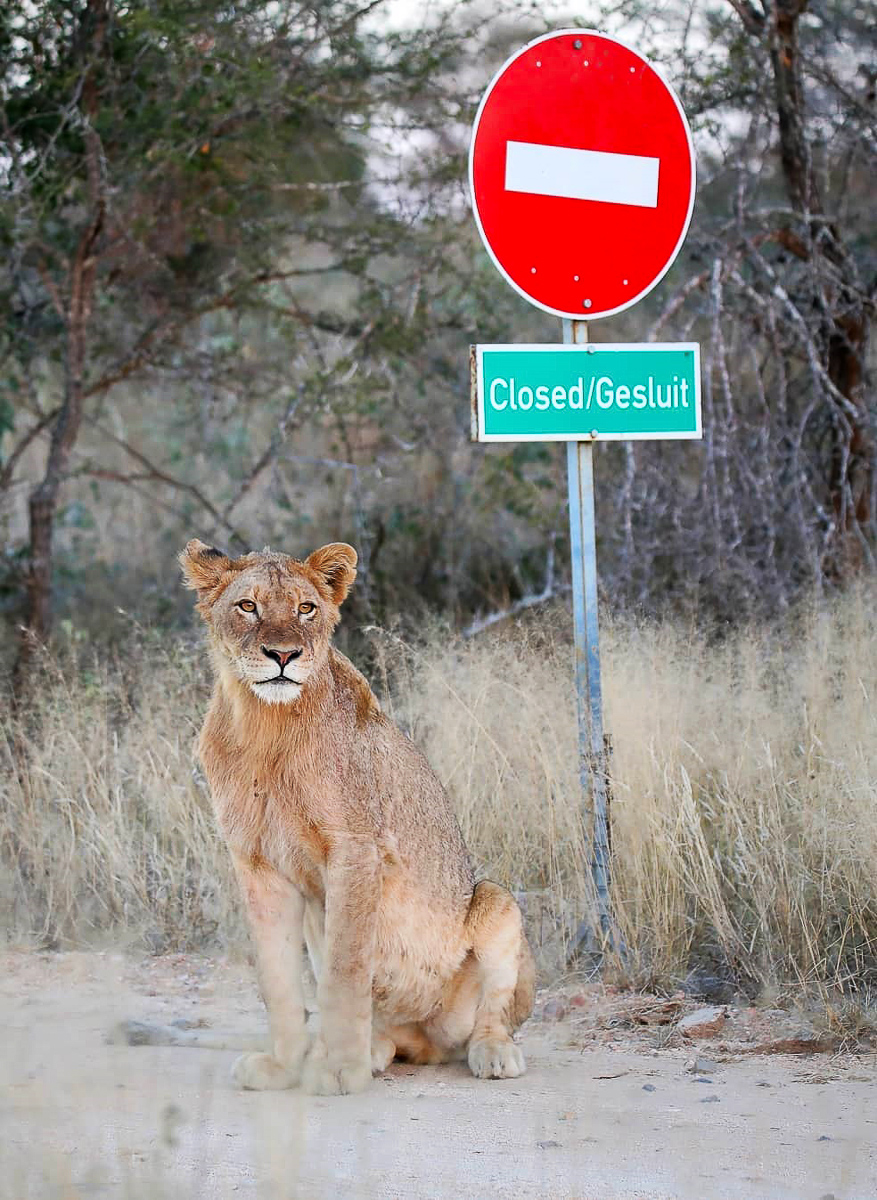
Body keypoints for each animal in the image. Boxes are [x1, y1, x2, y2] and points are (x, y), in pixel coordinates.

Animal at [177, 538, 534, 1096]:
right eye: (248, 606)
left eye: (306, 608)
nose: (284, 655)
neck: (264, 727)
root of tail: (420, 1040)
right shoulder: (256, 863)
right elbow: (278, 979)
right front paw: (284, 1067)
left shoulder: (354, 848)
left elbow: (345, 970)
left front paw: (340, 1069)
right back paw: (371, 1049)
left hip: (495, 902)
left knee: (494, 1015)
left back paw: (492, 1053)